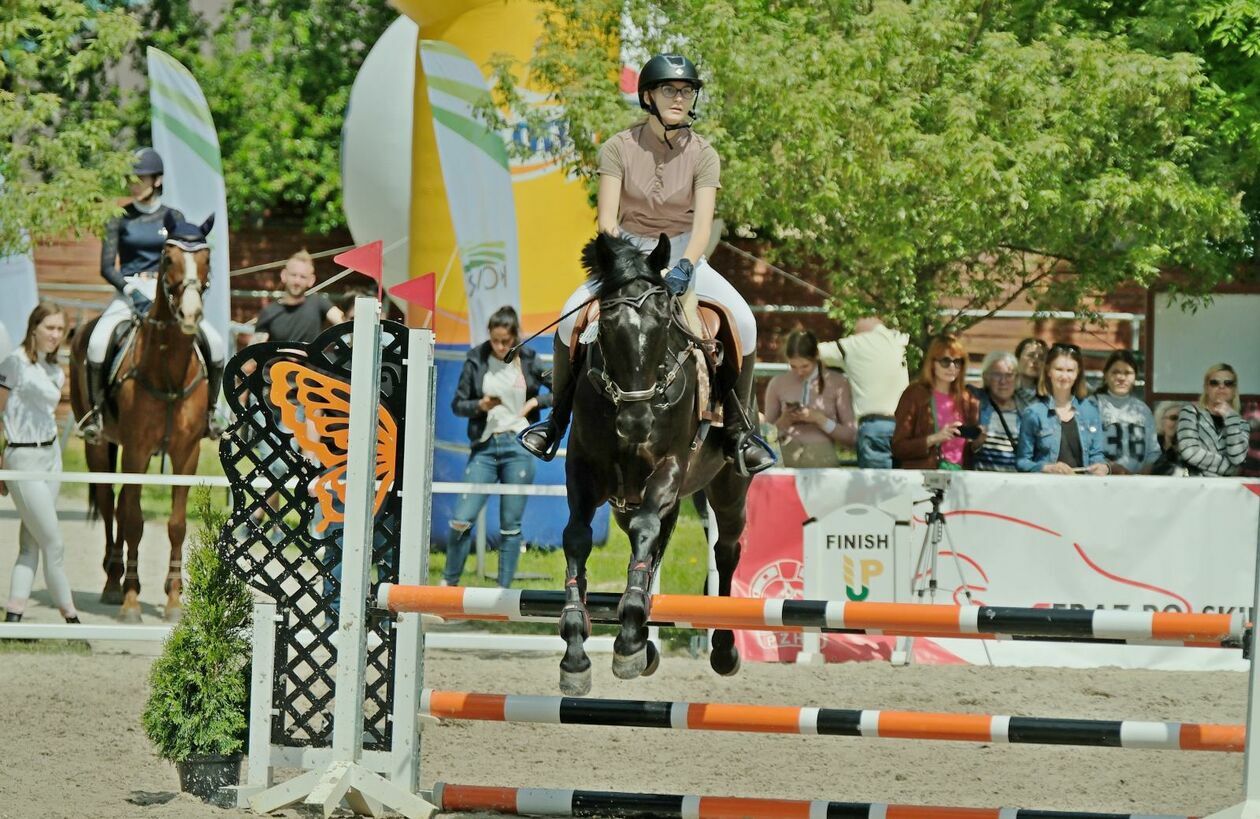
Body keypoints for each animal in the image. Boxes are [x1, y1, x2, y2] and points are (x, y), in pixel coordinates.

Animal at [71, 210, 216, 619]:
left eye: (207, 257)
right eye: (167, 258)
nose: (191, 314)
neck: (168, 370)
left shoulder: (186, 454)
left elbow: (177, 524)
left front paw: (174, 600)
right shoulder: (135, 450)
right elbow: (134, 520)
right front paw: (132, 600)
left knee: (120, 504)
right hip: (99, 446)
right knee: (110, 503)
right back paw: (112, 583)